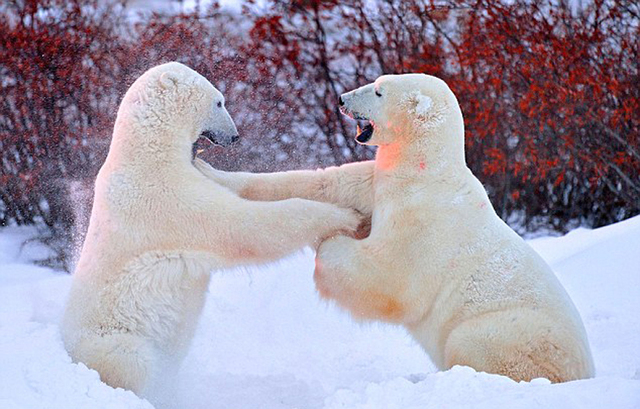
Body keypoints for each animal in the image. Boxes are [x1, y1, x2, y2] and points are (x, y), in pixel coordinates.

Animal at [62, 62, 362, 400]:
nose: (234, 136)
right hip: (108, 338)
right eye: (219, 102)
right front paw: (345, 216)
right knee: (129, 360)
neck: (148, 153)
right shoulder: (165, 200)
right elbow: (244, 228)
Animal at [210, 74, 596, 382]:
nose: (342, 99)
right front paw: (211, 170)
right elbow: (319, 183)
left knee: (471, 343)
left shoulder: (421, 218)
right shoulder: (376, 182)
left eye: (379, 90)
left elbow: (391, 277)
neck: (424, 171)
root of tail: (585, 372)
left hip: (512, 333)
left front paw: (333, 241)